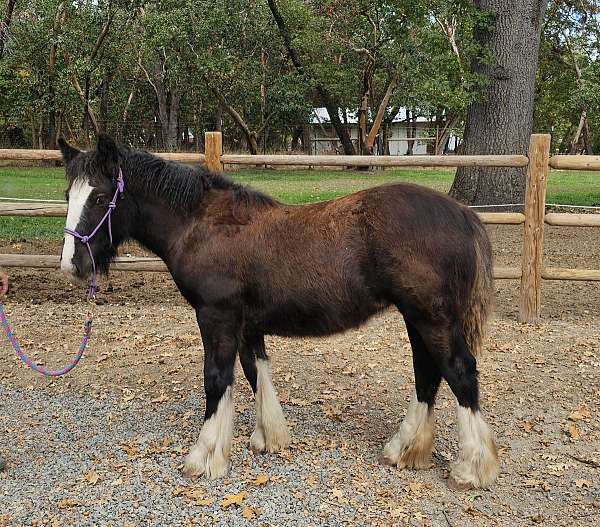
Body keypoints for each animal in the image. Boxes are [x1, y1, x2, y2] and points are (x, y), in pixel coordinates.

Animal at [58, 136, 500, 490]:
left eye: (100, 198)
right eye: (67, 195)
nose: (72, 264)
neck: (203, 225)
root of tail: (463, 214)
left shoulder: (216, 316)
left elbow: (216, 379)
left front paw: (205, 456)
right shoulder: (246, 323)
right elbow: (256, 372)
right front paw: (267, 437)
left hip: (432, 318)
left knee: (459, 373)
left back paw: (471, 469)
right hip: (417, 319)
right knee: (428, 375)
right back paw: (404, 450)